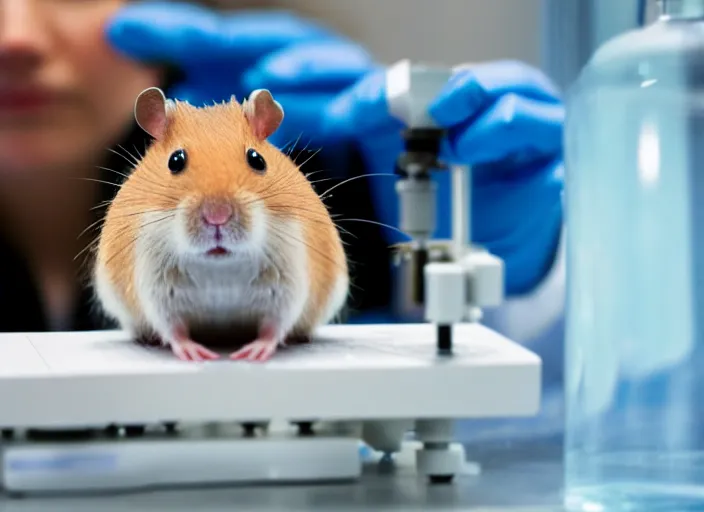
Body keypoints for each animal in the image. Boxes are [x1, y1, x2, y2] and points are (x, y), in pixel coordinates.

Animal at [91, 87, 350, 360]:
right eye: (175, 160)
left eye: (257, 159)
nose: (218, 216)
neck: (221, 265)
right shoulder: (155, 284)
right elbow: (172, 327)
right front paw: (196, 354)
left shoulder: (288, 277)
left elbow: (275, 324)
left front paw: (252, 354)